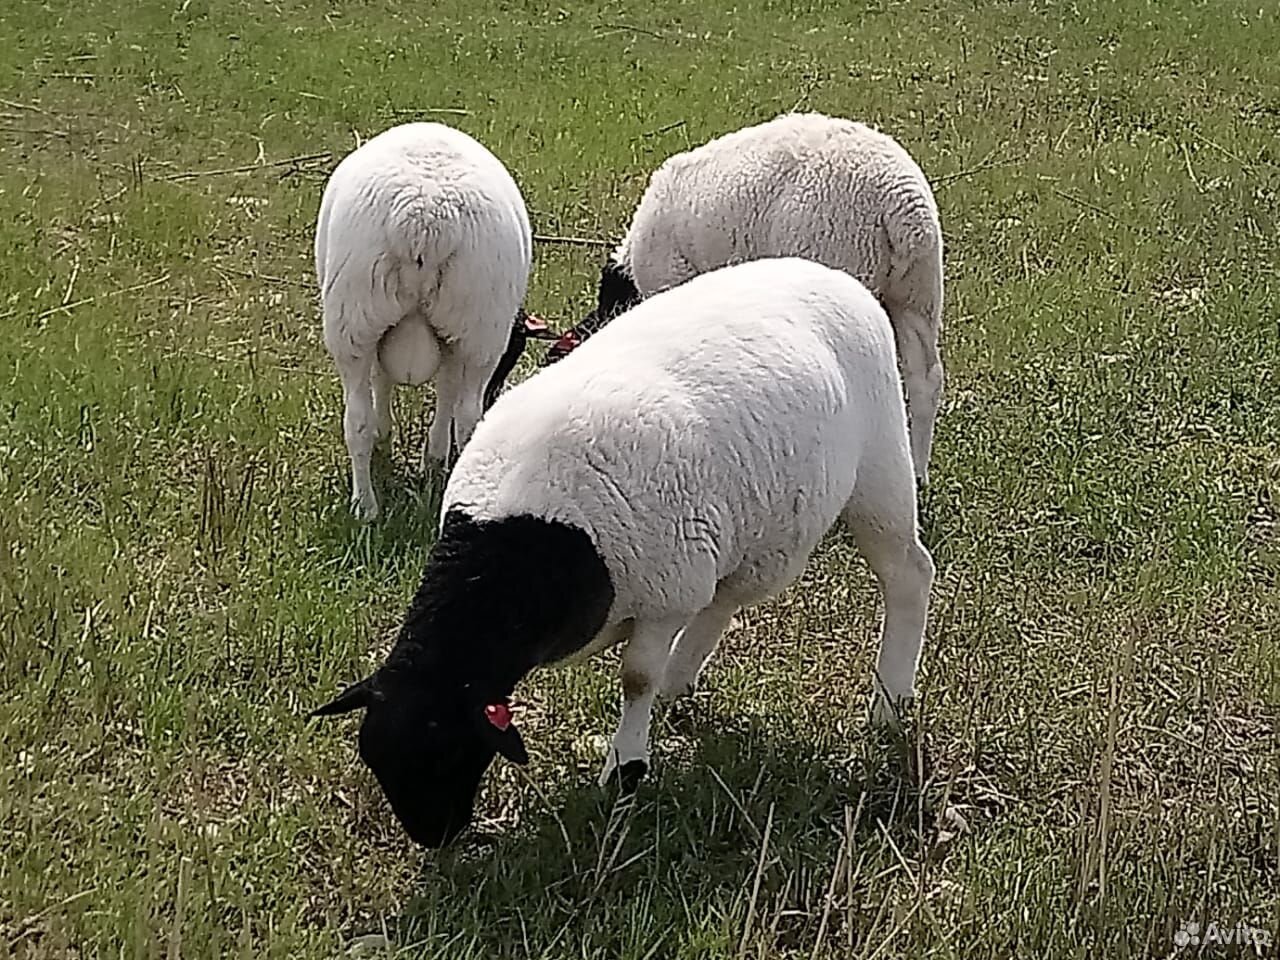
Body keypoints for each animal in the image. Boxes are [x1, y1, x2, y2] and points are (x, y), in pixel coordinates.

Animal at [308, 257, 931, 849]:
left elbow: (635, 677)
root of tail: (836, 278)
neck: (529, 546)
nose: (432, 838)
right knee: (721, 600)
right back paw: (684, 682)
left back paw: (890, 700)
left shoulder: (664, 592)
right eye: (376, 758)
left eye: (443, 749)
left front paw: (626, 766)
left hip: (880, 467)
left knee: (908, 574)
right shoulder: (683, 569)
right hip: (739, 529)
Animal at [316, 126, 555, 527]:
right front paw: (430, 455)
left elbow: (388, 380)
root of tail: (425, 214)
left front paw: (396, 439)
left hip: (355, 319)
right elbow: (443, 390)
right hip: (478, 323)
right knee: (468, 416)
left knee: (358, 421)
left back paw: (365, 506)